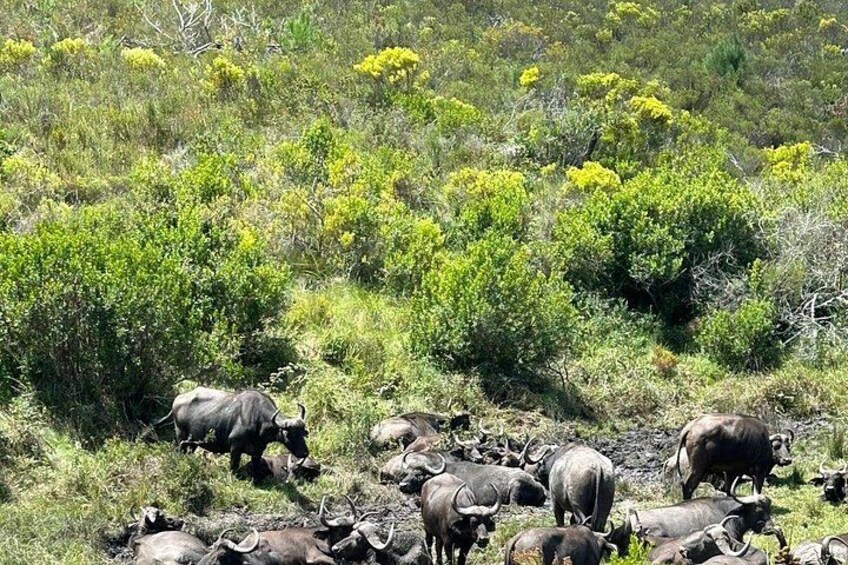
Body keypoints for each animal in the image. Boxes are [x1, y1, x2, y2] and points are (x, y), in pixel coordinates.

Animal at [152, 387, 309, 475]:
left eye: (303, 433)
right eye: (290, 434)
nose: (305, 453)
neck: (258, 419)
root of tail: (177, 399)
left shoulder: (258, 451)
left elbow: (255, 467)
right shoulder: (235, 447)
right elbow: (234, 467)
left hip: (193, 442)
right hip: (181, 435)